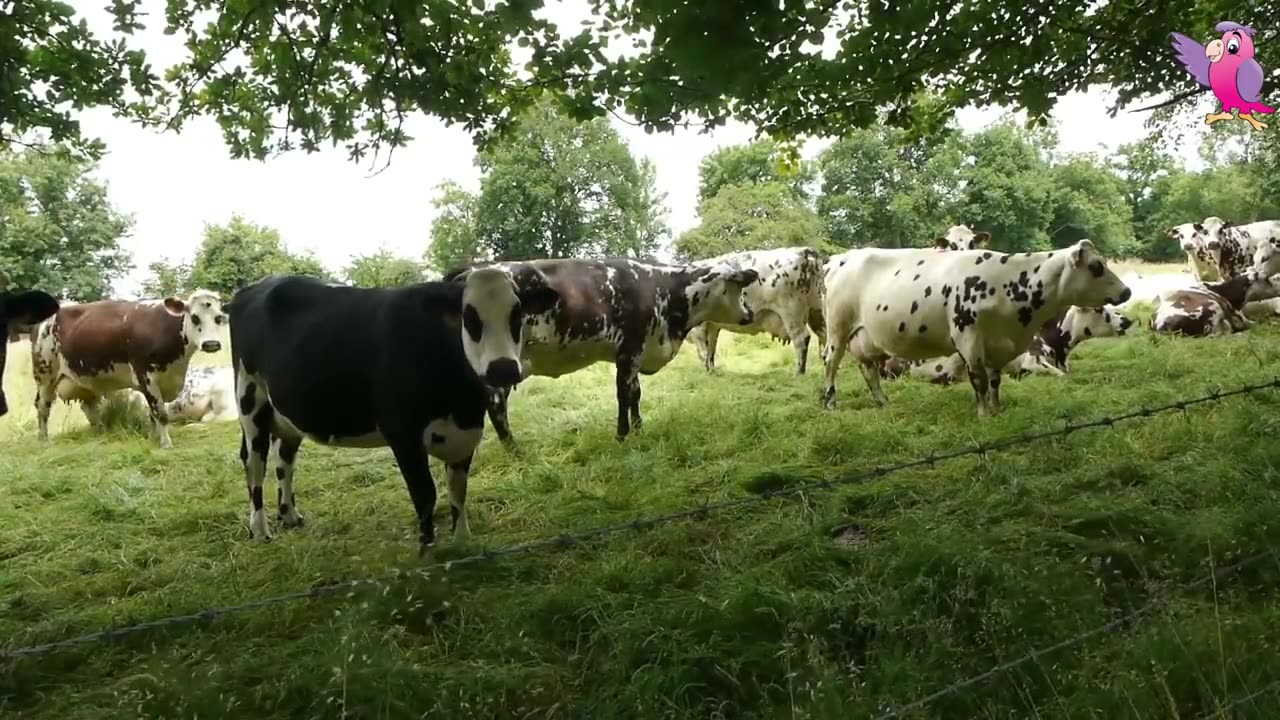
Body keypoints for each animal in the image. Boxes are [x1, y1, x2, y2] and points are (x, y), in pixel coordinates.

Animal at [31, 288, 227, 445]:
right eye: (194, 318)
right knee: (42, 406)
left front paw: (153, 438)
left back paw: (100, 432)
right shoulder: (146, 376)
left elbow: (153, 415)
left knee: (89, 408)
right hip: (45, 376)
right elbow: (160, 414)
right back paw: (43, 439)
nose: (211, 344)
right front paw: (166, 443)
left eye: (219, 318)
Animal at [227, 270, 558, 548]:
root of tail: (257, 286)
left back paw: (290, 516)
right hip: (249, 397)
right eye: (469, 317)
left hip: (287, 414)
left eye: (517, 314)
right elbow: (425, 495)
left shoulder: (466, 432)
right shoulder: (402, 434)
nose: (503, 369)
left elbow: (458, 490)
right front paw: (428, 551)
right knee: (255, 462)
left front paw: (463, 541)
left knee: (284, 459)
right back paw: (260, 529)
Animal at [442, 254, 752, 440]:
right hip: (498, 362)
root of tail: (470, 268)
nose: (749, 314)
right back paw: (516, 451)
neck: (661, 288)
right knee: (495, 405)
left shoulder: (635, 353)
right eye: (737, 288)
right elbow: (624, 395)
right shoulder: (629, 350)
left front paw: (639, 429)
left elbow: (635, 394)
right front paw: (622, 435)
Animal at [819, 237, 1131, 412]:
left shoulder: (998, 343)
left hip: (867, 339)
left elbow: (994, 381)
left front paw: (996, 410)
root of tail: (838, 259)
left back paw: (882, 403)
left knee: (869, 370)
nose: (1127, 291)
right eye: (1096, 267)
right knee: (830, 363)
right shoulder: (968, 338)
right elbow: (979, 381)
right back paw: (830, 403)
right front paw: (983, 416)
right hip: (837, 328)